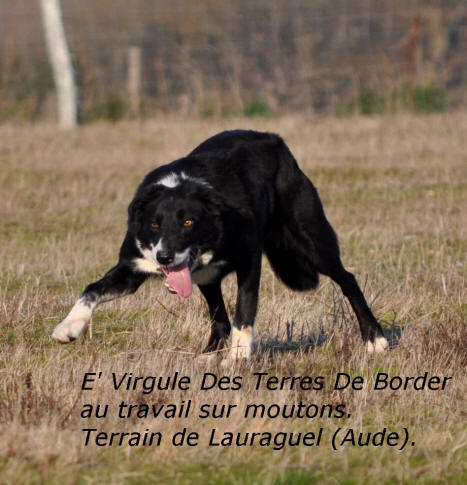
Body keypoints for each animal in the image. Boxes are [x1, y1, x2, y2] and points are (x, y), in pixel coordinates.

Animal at [51, 129, 390, 360]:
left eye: (189, 222)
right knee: (219, 318)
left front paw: (238, 358)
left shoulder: (249, 262)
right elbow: (91, 289)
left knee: (347, 278)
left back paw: (374, 337)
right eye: (154, 224)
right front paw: (69, 326)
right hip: (207, 279)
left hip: (311, 242)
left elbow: (244, 312)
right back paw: (206, 355)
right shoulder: (133, 267)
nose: (165, 257)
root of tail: (273, 139)